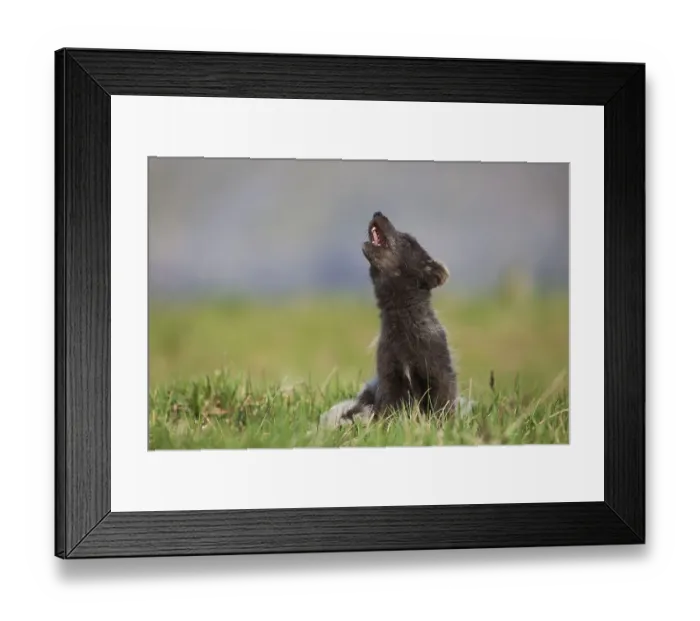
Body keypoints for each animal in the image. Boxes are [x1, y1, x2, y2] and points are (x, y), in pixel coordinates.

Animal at [320, 211, 459, 428]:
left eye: (409, 240)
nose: (378, 213)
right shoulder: (389, 374)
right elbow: (389, 407)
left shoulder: (436, 368)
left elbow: (442, 402)